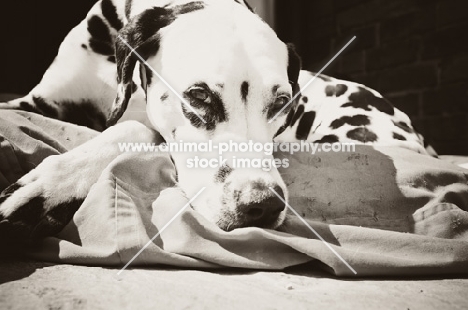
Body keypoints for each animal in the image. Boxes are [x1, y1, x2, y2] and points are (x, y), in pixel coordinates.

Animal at [0, 0, 432, 242]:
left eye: (282, 102)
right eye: (199, 96)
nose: (263, 205)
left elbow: (133, 127)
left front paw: (46, 191)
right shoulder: (33, 102)